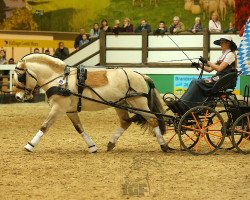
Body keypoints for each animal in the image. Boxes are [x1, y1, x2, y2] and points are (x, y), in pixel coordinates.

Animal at [14, 54, 170, 152]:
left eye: (21, 76)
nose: (17, 97)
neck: (59, 80)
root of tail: (140, 74)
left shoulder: (58, 108)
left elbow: (45, 126)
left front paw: (30, 146)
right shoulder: (70, 110)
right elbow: (79, 128)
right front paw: (92, 147)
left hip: (139, 103)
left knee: (153, 119)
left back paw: (163, 145)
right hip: (122, 104)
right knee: (125, 122)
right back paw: (111, 143)